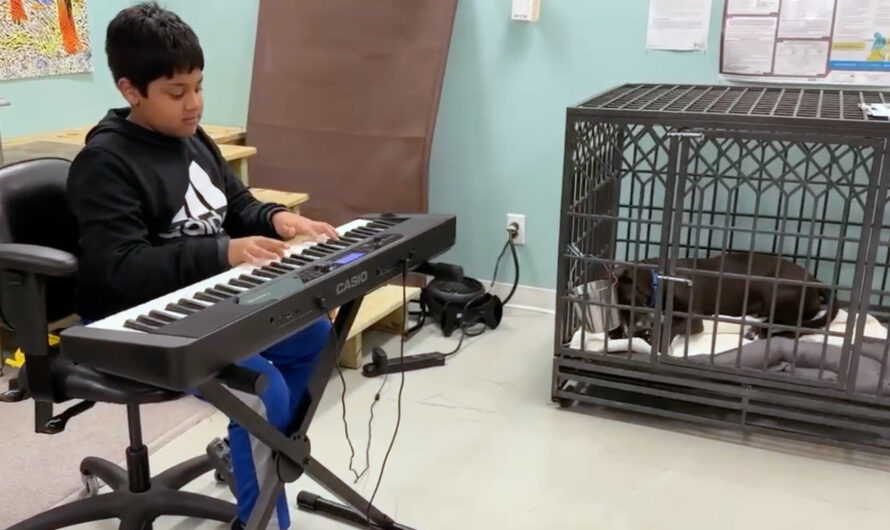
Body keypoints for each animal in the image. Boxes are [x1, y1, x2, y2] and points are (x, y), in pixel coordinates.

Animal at [612, 252, 836, 342]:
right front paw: (616, 333)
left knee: (787, 324)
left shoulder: (694, 319)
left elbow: (667, 330)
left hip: (776, 290)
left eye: (634, 300)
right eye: (620, 310)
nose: (632, 330)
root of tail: (813, 280)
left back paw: (757, 330)